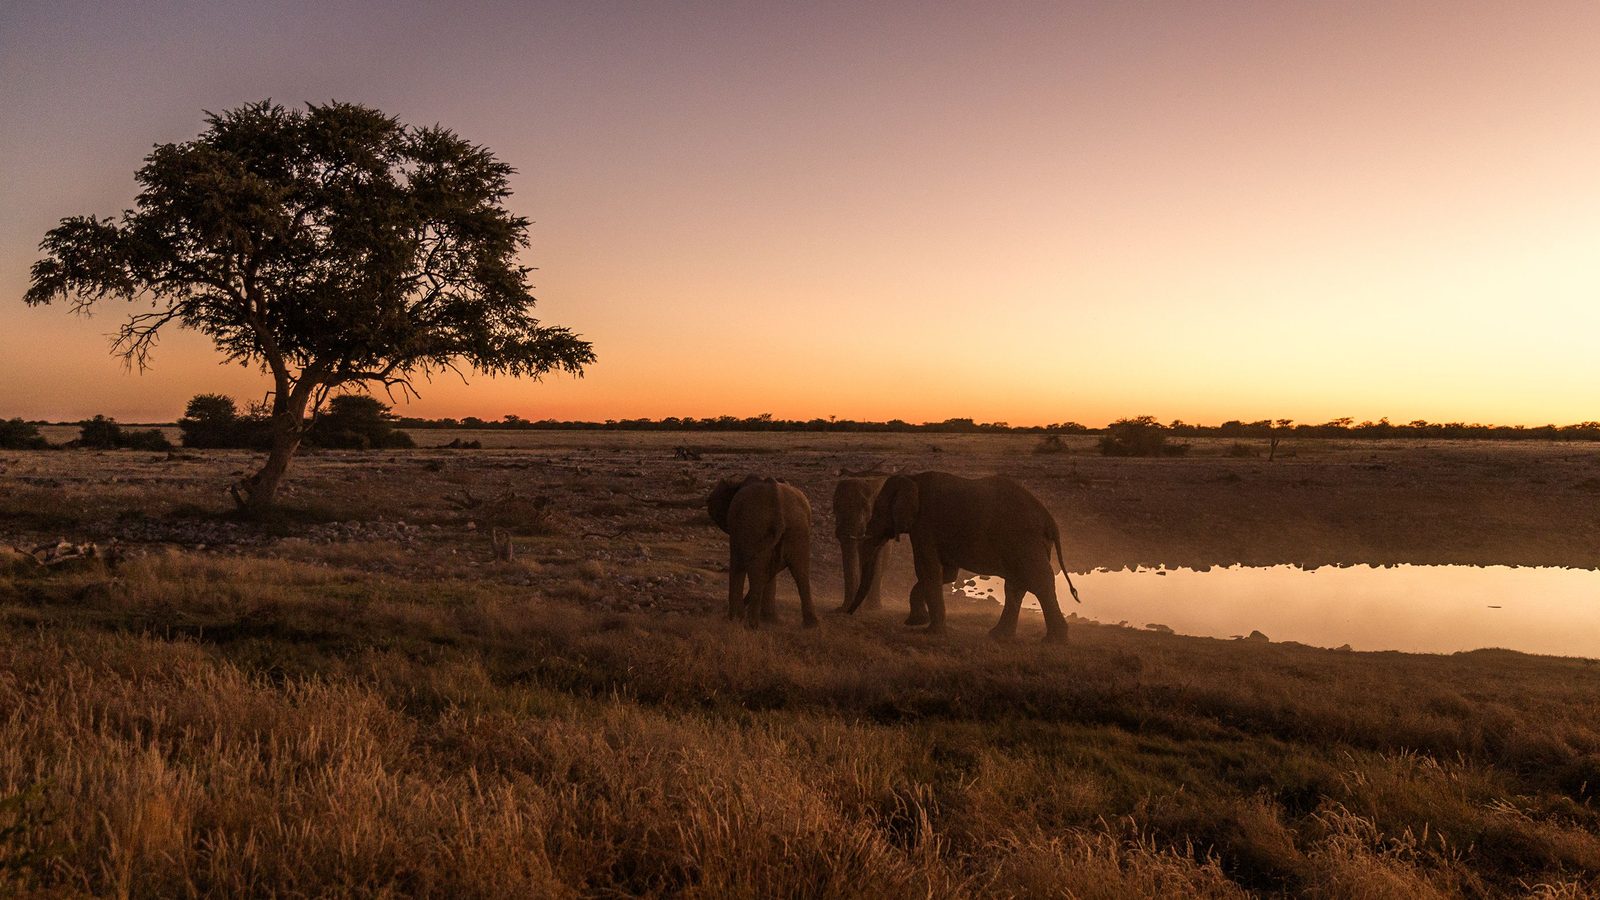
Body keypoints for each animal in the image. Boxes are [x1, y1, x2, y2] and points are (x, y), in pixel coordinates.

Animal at [707, 475, 818, 629]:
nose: (721, 612)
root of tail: (777, 500)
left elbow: (737, 564)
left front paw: (733, 618)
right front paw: (768, 619)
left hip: (756, 527)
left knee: (758, 573)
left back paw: (751, 625)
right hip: (797, 528)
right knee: (801, 572)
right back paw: (811, 625)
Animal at [843, 471, 1080, 642]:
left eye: (878, 512)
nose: (849, 614)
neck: (912, 478)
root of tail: (1050, 520)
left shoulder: (924, 525)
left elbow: (927, 570)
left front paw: (929, 632)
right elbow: (946, 574)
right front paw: (915, 622)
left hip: (1023, 540)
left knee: (1038, 582)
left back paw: (1053, 641)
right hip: (1026, 544)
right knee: (1017, 584)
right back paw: (998, 636)